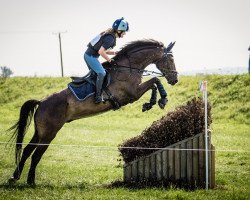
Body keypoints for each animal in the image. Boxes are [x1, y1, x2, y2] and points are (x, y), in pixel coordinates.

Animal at [7, 38, 178, 185]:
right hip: (49, 133)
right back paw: (30, 181)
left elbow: (154, 83)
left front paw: (151, 103)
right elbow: (155, 81)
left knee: (27, 150)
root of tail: (41, 102)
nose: (175, 80)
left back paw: (14, 177)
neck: (129, 67)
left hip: (40, 132)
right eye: (171, 59)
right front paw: (161, 100)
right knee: (36, 155)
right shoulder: (132, 94)